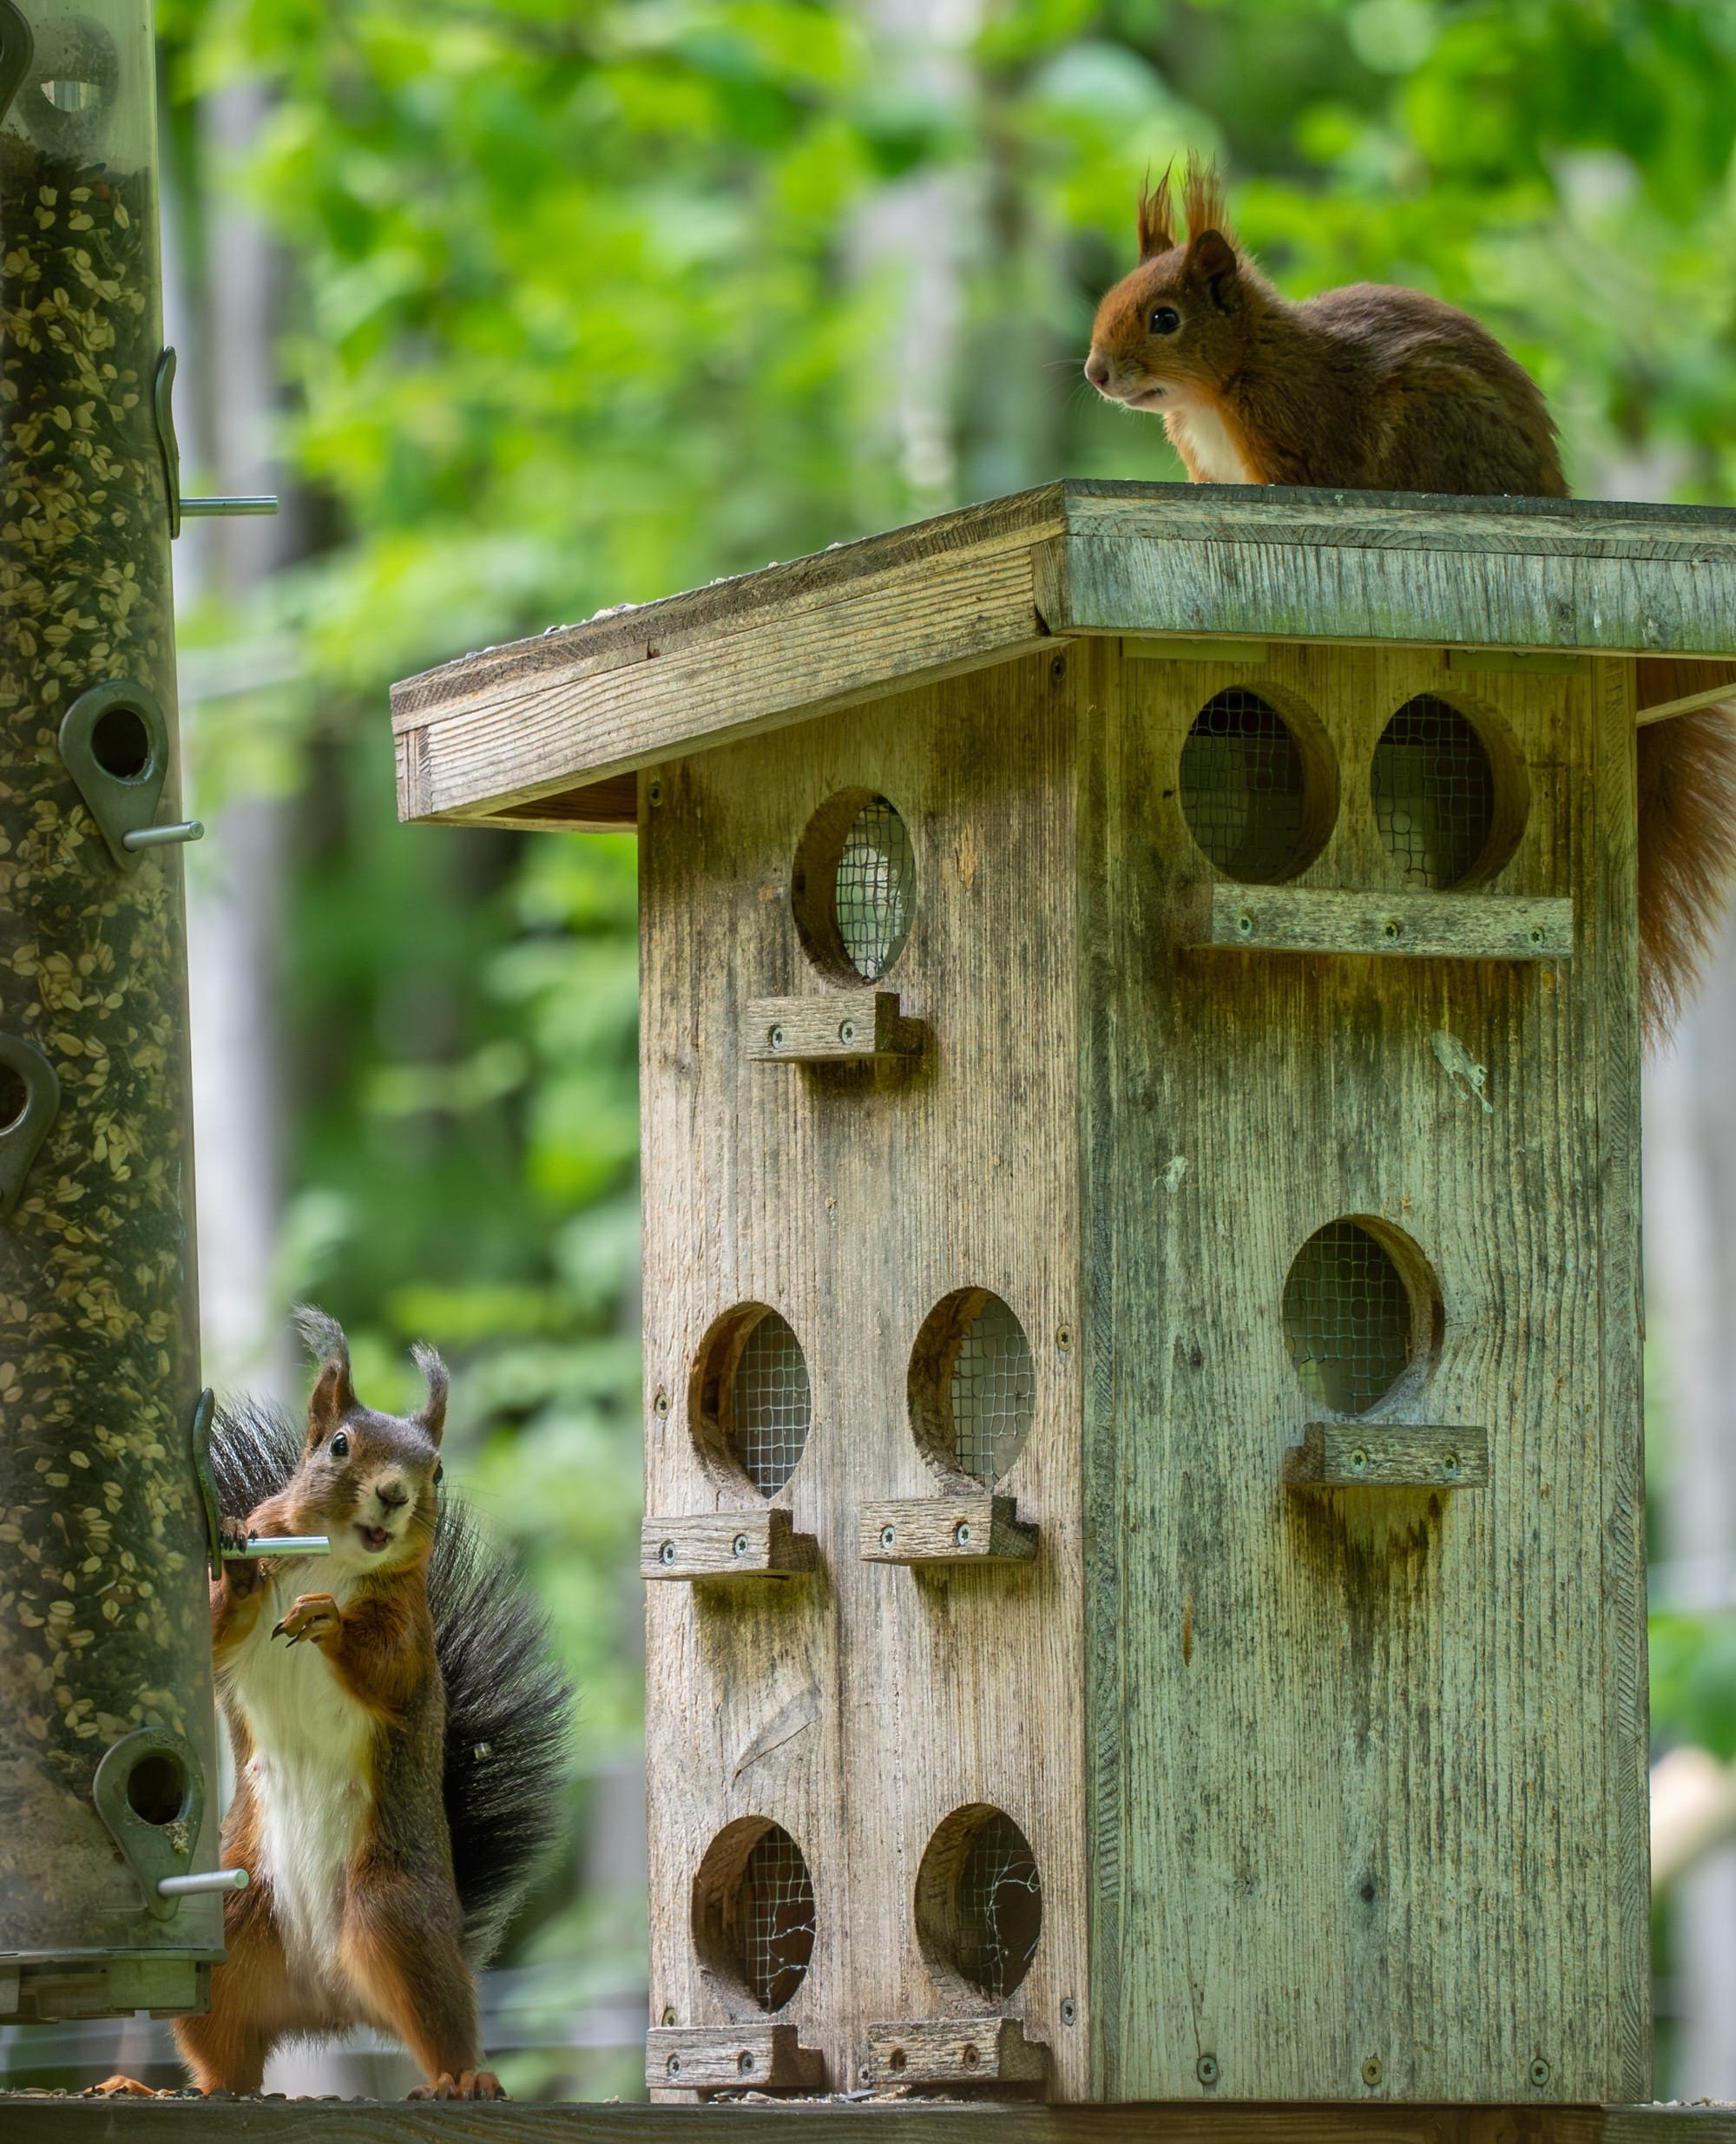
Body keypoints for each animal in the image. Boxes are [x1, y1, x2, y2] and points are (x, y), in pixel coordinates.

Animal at [99, 1309, 571, 2102]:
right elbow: (212, 1635)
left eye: (436, 1470)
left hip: (394, 1914)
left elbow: (385, 1670)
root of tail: (329, 2001)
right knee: (228, 2059)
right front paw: (237, 1553)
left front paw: (327, 1618)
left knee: (442, 2023)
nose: (394, 1494)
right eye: (341, 1445)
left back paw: (464, 2079)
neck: (332, 1558)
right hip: (232, 1924)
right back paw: (167, 2088)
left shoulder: (409, 1630)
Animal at [1085, 158, 1736, 1039]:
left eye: (1164, 318)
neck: (1225, 384)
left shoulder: (1302, 434)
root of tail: (1551, 487)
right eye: (1107, 304)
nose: (1096, 372)